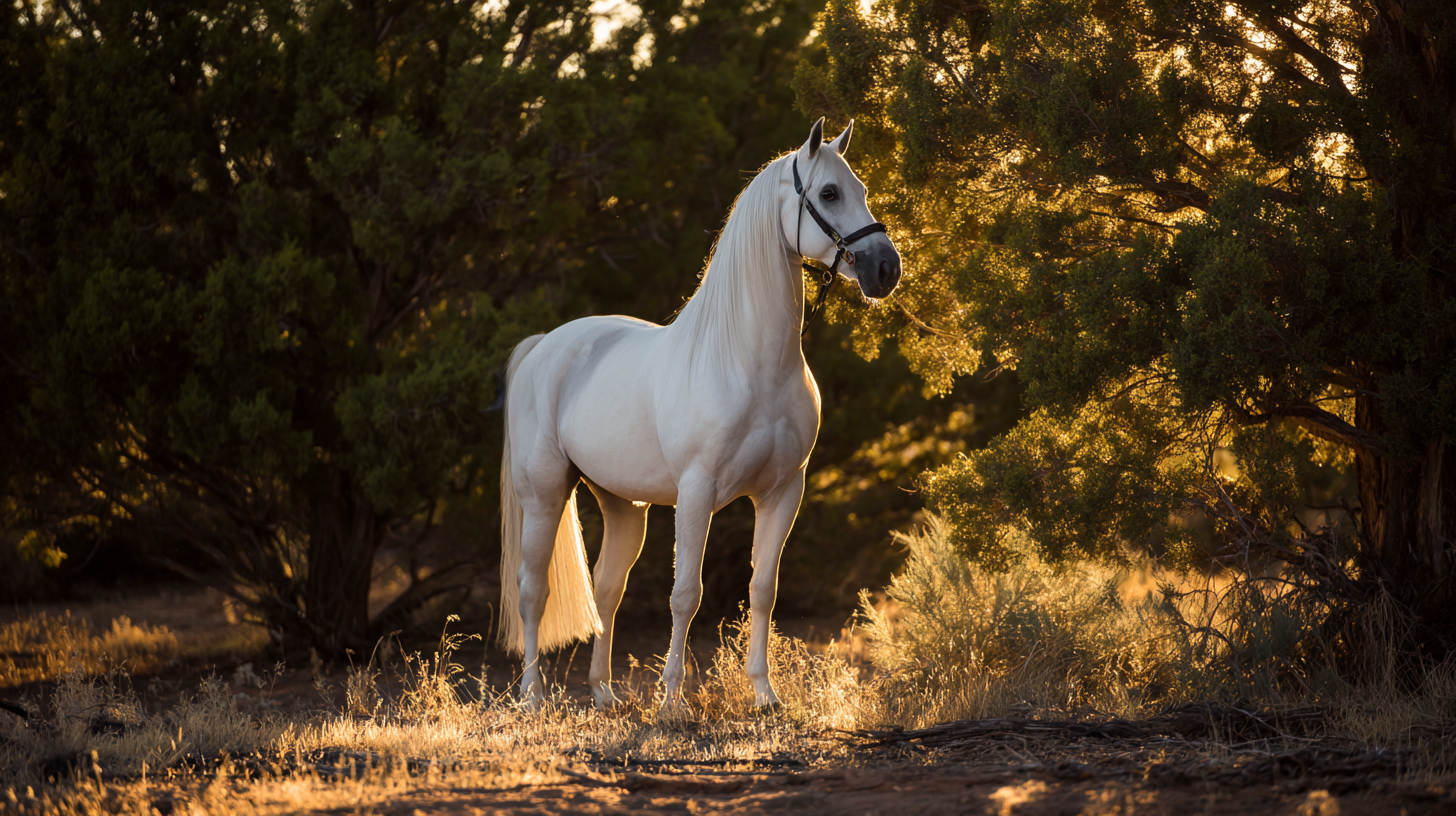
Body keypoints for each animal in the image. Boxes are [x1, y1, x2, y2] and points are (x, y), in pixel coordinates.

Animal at [497, 117, 902, 709]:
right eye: (829, 193)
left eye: (863, 190)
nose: (886, 268)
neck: (747, 362)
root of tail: (544, 345)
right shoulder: (696, 493)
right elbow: (686, 593)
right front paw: (672, 701)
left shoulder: (784, 491)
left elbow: (763, 589)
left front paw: (764, 694)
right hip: (546, 493)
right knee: (533, 588)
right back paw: (531, 696)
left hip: (624, 505)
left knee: (607, 588)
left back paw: (604, 693)